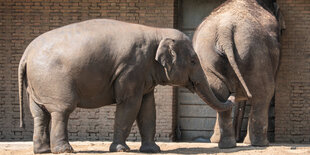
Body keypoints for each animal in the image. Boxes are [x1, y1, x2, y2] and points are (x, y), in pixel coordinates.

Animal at [18, 19, 234, 154]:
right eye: (193, 61)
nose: (232, 98)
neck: (156, 31)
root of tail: (26, 53)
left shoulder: (143, 73)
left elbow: (148, 108)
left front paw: (153, 150)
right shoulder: (132, 67)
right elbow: (130, 105)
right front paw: (121, 149)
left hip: (36, 84)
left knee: (39, 114)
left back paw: (42, 151)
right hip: (54, 80)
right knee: (62, 110)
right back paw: (65, 150)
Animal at [193, 0, 284, 148]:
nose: (238, 137)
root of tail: (225, 29)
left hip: (207, 57)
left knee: (219, 92)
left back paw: (227, 145)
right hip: (255, 51)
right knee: (264, 93)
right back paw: (261, 144)